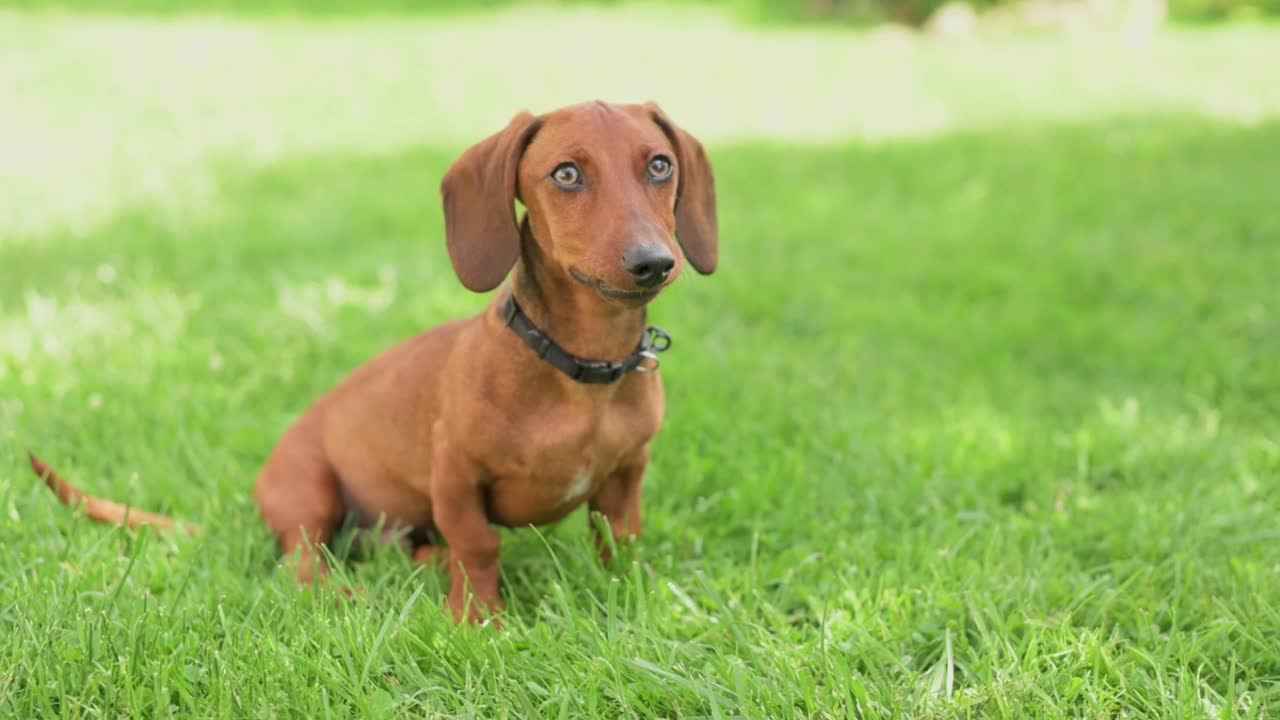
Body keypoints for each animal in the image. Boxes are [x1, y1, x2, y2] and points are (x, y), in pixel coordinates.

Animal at [30, 101, 716, 622]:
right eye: (567, 173)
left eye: (660, 165)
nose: (653, 262)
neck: (583, 368)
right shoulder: (454, 472)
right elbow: (479, 544)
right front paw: (479, 622)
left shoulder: (627, 476)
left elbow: (620, 543)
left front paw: (630, 602)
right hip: (308, 492)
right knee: (303, 563)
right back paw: (350, 592)